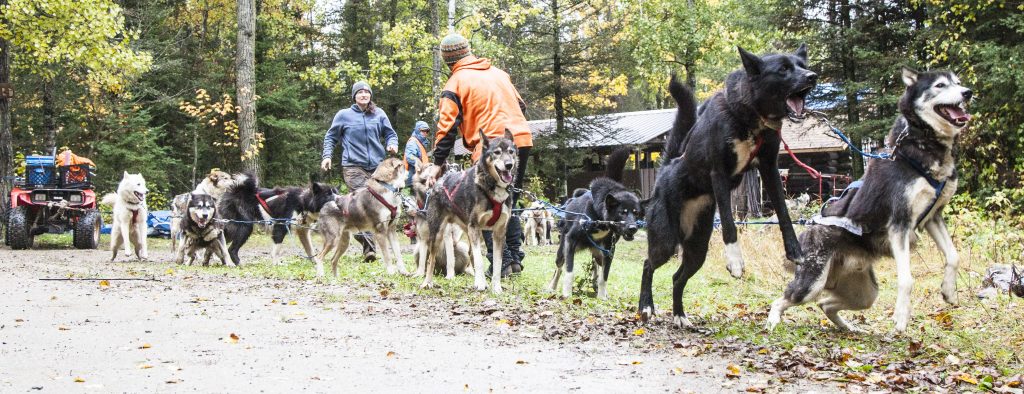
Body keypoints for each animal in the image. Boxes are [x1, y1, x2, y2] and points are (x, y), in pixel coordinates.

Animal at [548, 147, 634, 298]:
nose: (633, 228)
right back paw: (552, 287)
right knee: (559, 268)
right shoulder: (570, 241)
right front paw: (567, 293)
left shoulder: (609, 251)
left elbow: (604, 276)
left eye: (636, 212)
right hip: (563, 250)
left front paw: (602, 296)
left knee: (596, 267)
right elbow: (569, 271)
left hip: (598, 253)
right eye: (622, 212)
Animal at [638, 46, 815, 327]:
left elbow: (784, 215)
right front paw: (735, 261)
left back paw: (679, 315)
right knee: (647, 264)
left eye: (802, 65)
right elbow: (730, 224)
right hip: (665, 240)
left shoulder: (769, 169)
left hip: (697, 249)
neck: (750, 119)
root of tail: (665, 170)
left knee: (677, 278)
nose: (813, 76)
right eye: (783, 69)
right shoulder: (718, 173)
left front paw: (795, 250)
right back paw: (646, 306)